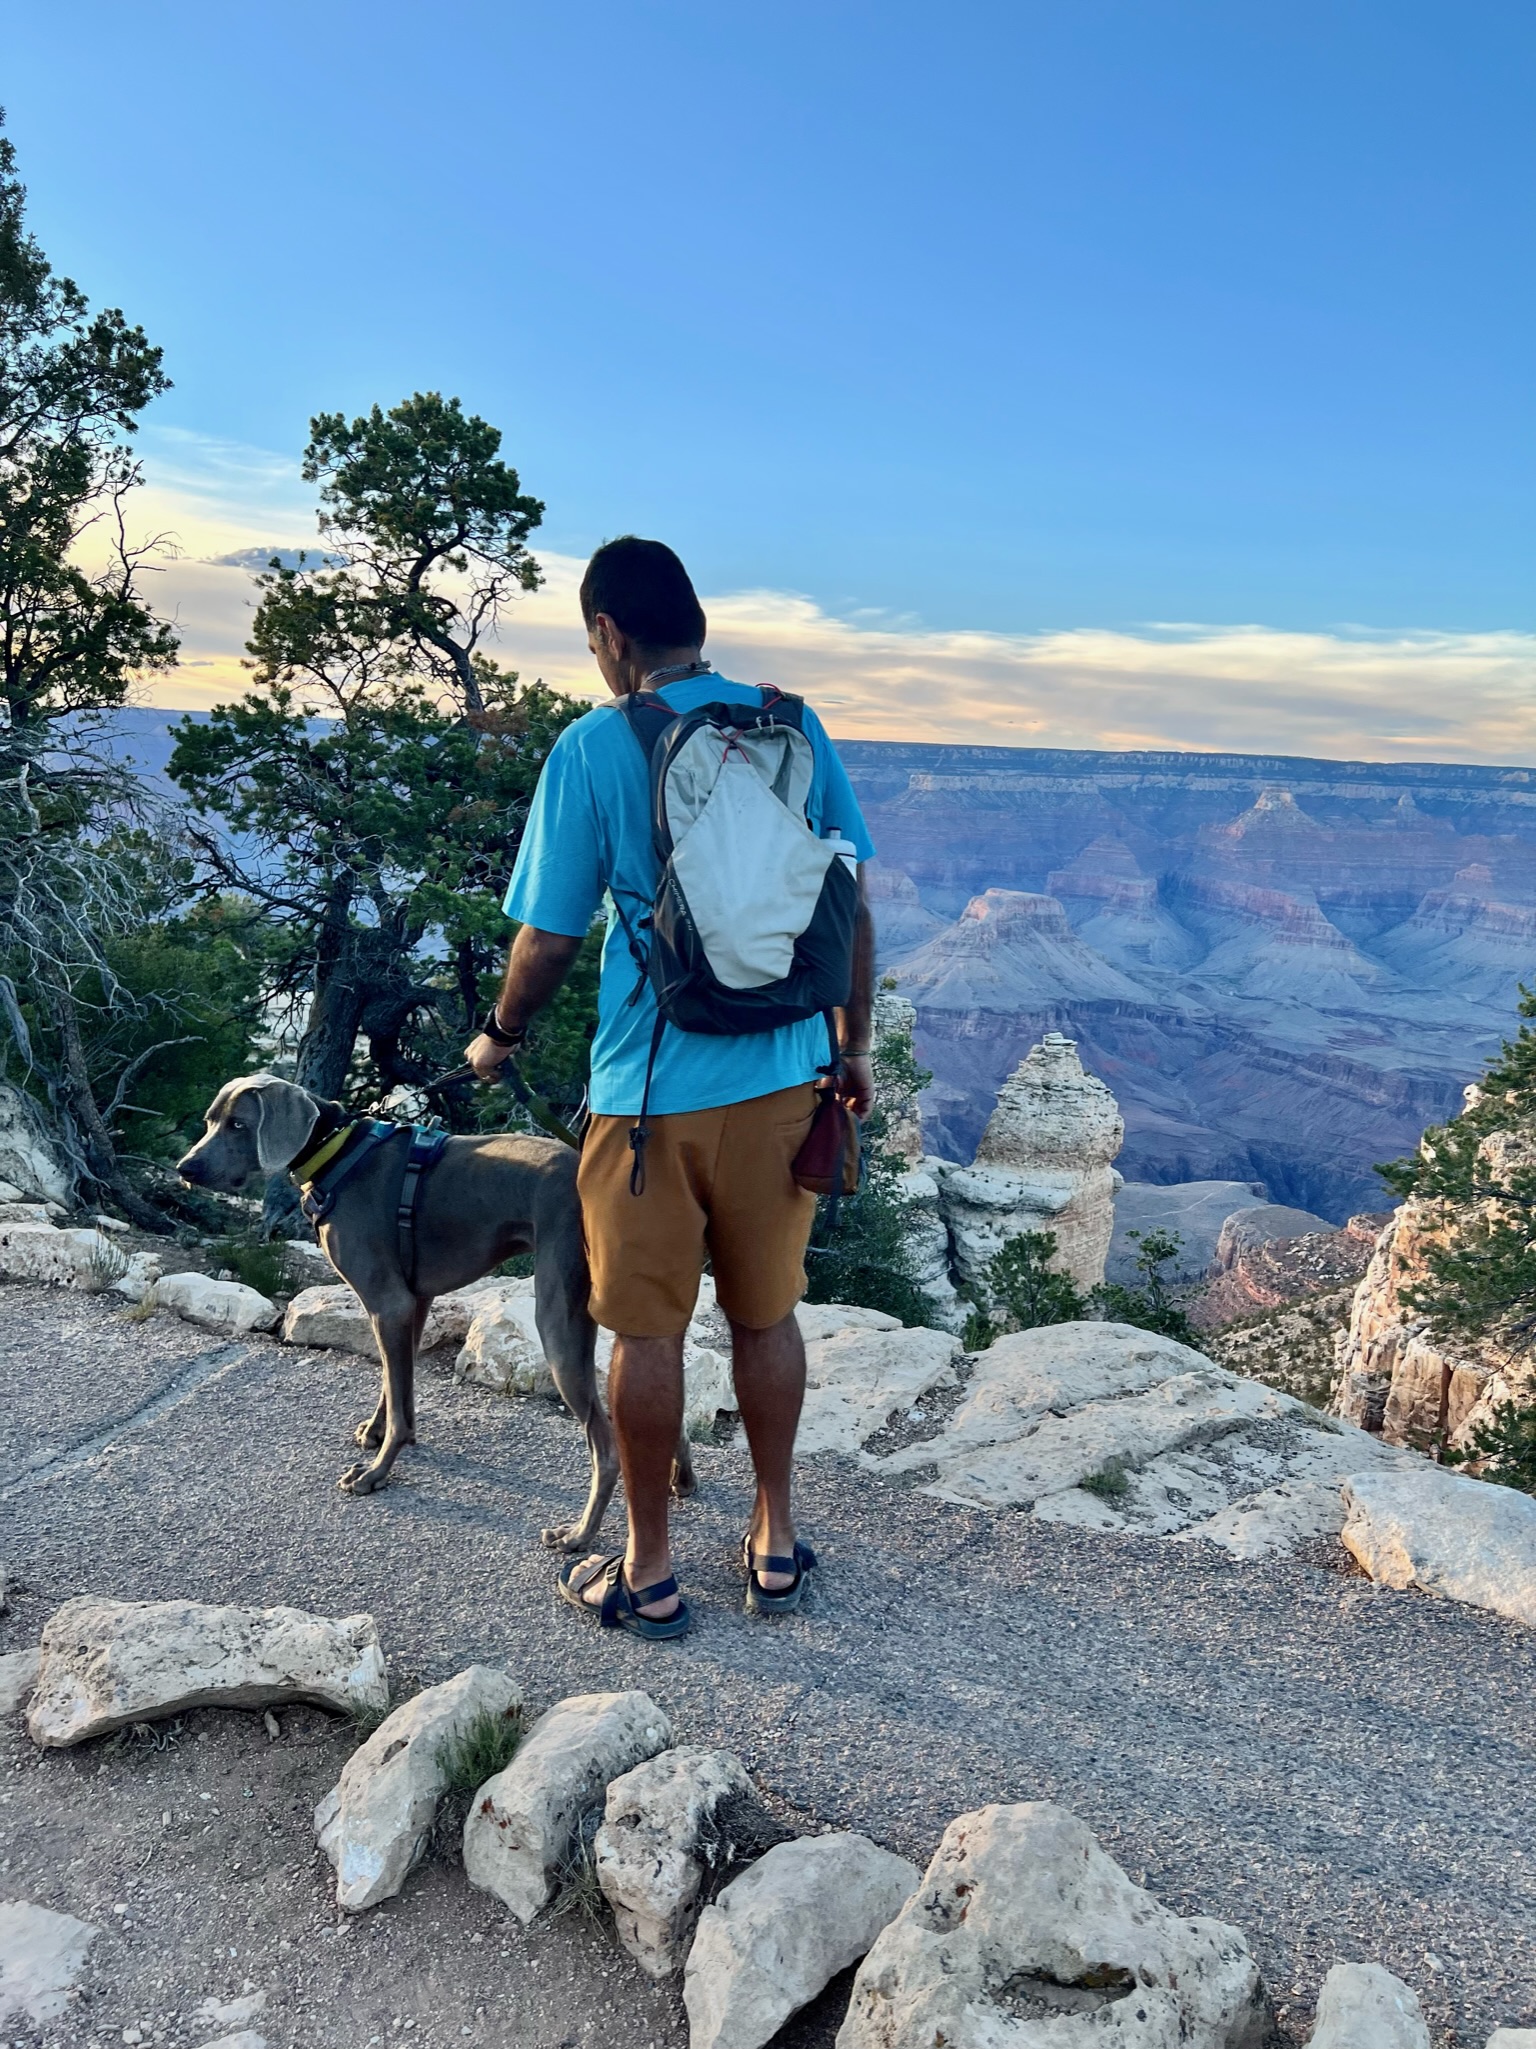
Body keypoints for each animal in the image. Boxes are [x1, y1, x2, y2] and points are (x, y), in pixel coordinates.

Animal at [173, 1081, 692, 1540]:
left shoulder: (390, 1302)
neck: (339, 1152)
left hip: (558, 1316)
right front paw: (375, 1431)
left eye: (239, 1124)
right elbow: (394, 1383)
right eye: (210, 1120)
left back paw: (579, 1536)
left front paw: (375, 1472)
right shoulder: (413, 1302)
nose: (186, 1166)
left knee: (606, 1448)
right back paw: (680, 1476)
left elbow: (400, 1401)